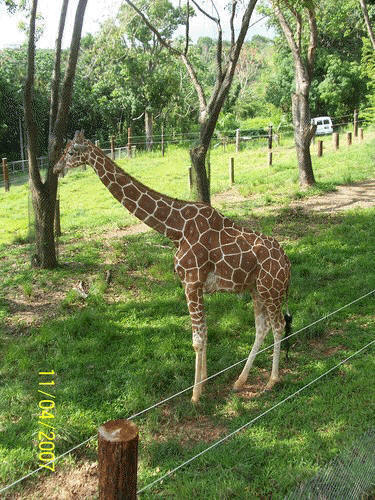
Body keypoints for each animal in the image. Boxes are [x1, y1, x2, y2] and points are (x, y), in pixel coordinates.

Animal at [54, 132, 292, 402]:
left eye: (71, 152)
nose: (56, 168)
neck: (175, 229)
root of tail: (287, 263)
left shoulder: (191, 281)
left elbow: (198, 338)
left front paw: (195, 395)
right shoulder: (194, 284)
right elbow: (204, 333)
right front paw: (205, 382)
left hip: (271, 290)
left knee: (278, 326)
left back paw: (272, 380)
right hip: (256, 289)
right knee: (262, 328)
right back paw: (240, 380)